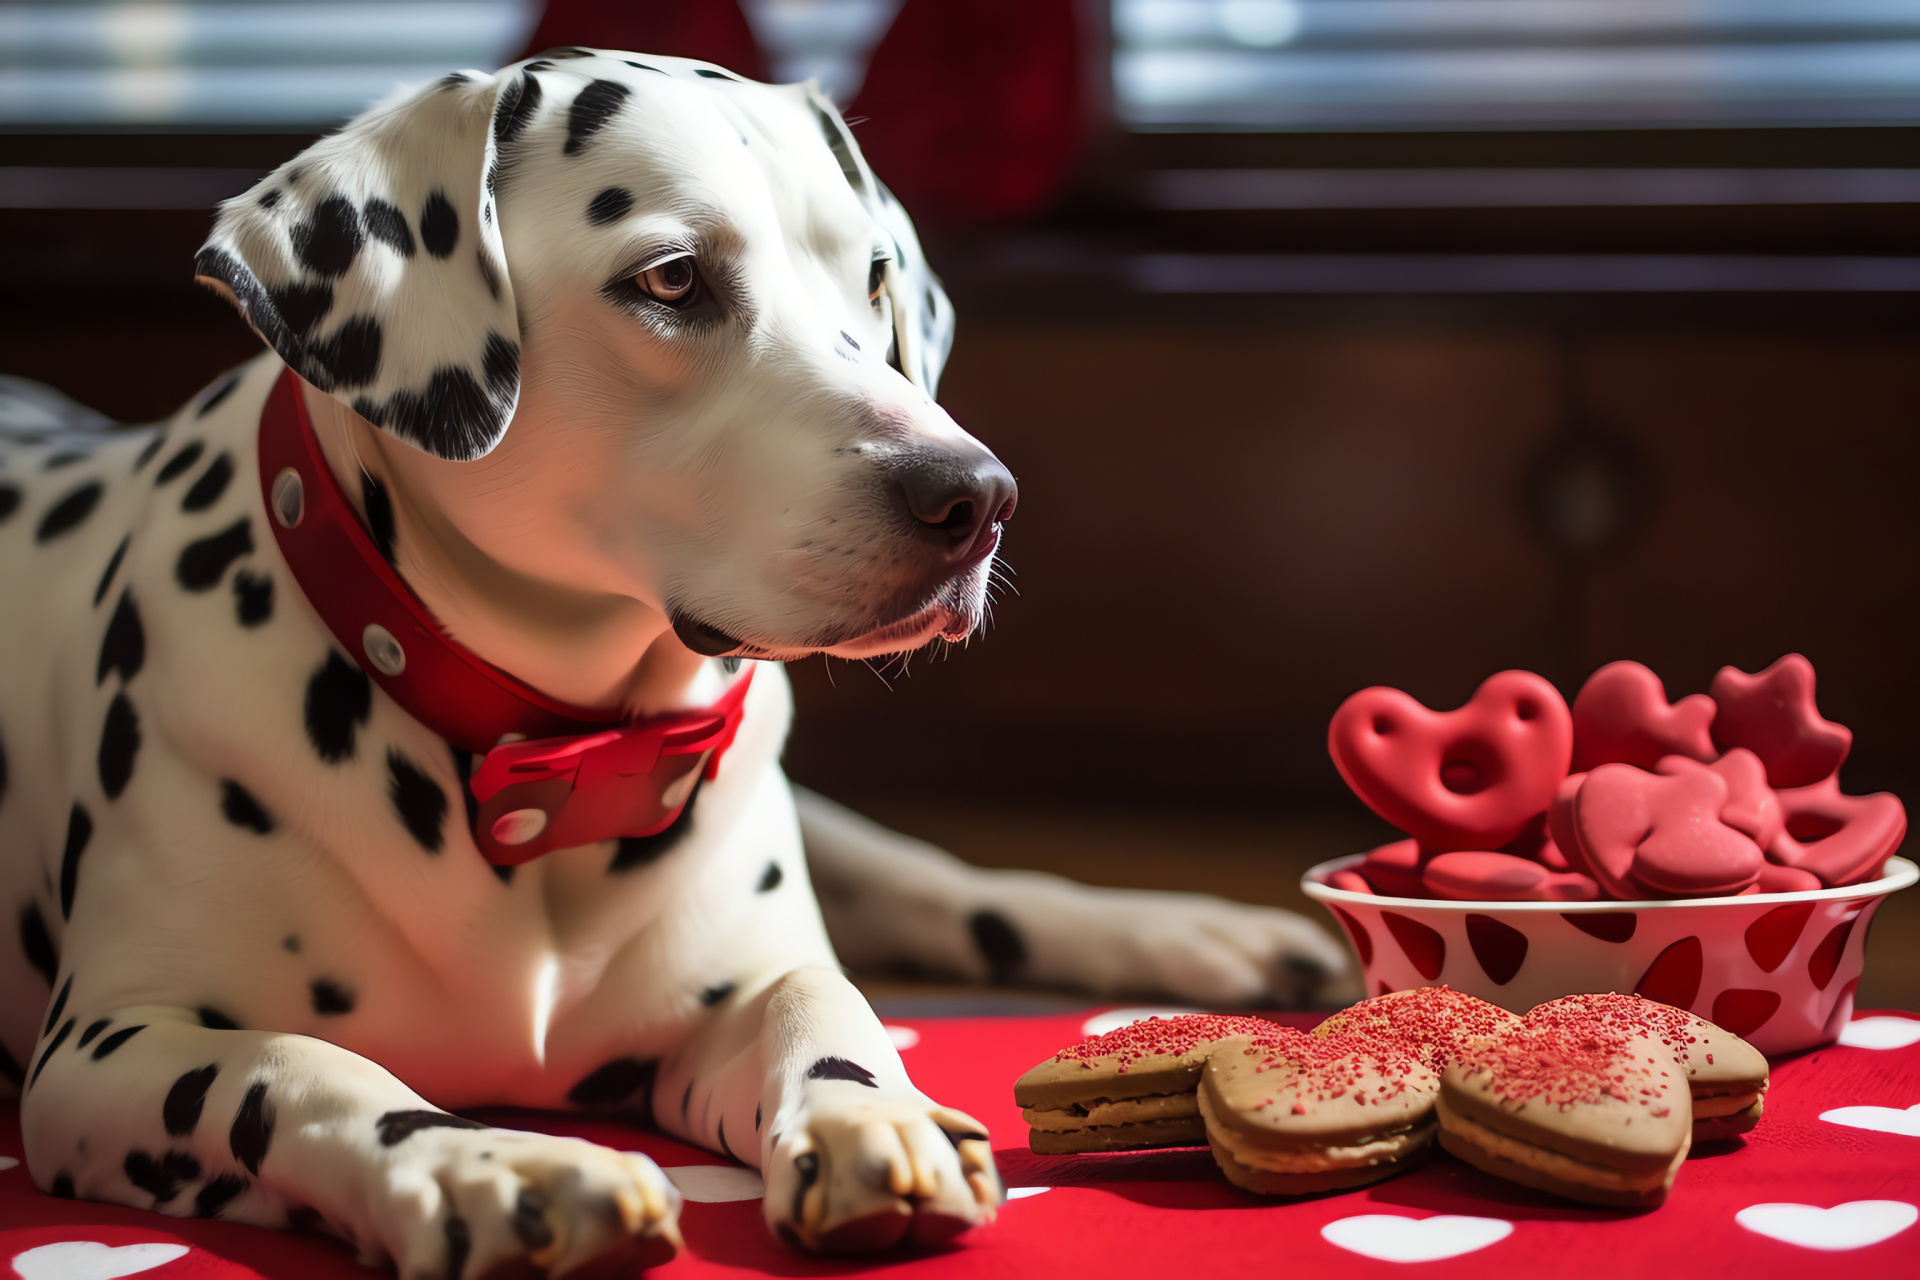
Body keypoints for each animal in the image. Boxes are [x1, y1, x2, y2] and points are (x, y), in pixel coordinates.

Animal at [0, 47, 1351, 1274]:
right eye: (670, 277)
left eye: (872, 274)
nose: (975, 498)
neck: (549, 752)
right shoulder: (109, 1051)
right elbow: (305, 1071)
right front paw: (489, 1163)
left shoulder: (737, 980)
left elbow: (822, 996)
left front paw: (870, 1107)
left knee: (945, 884)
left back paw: (1193, 937)